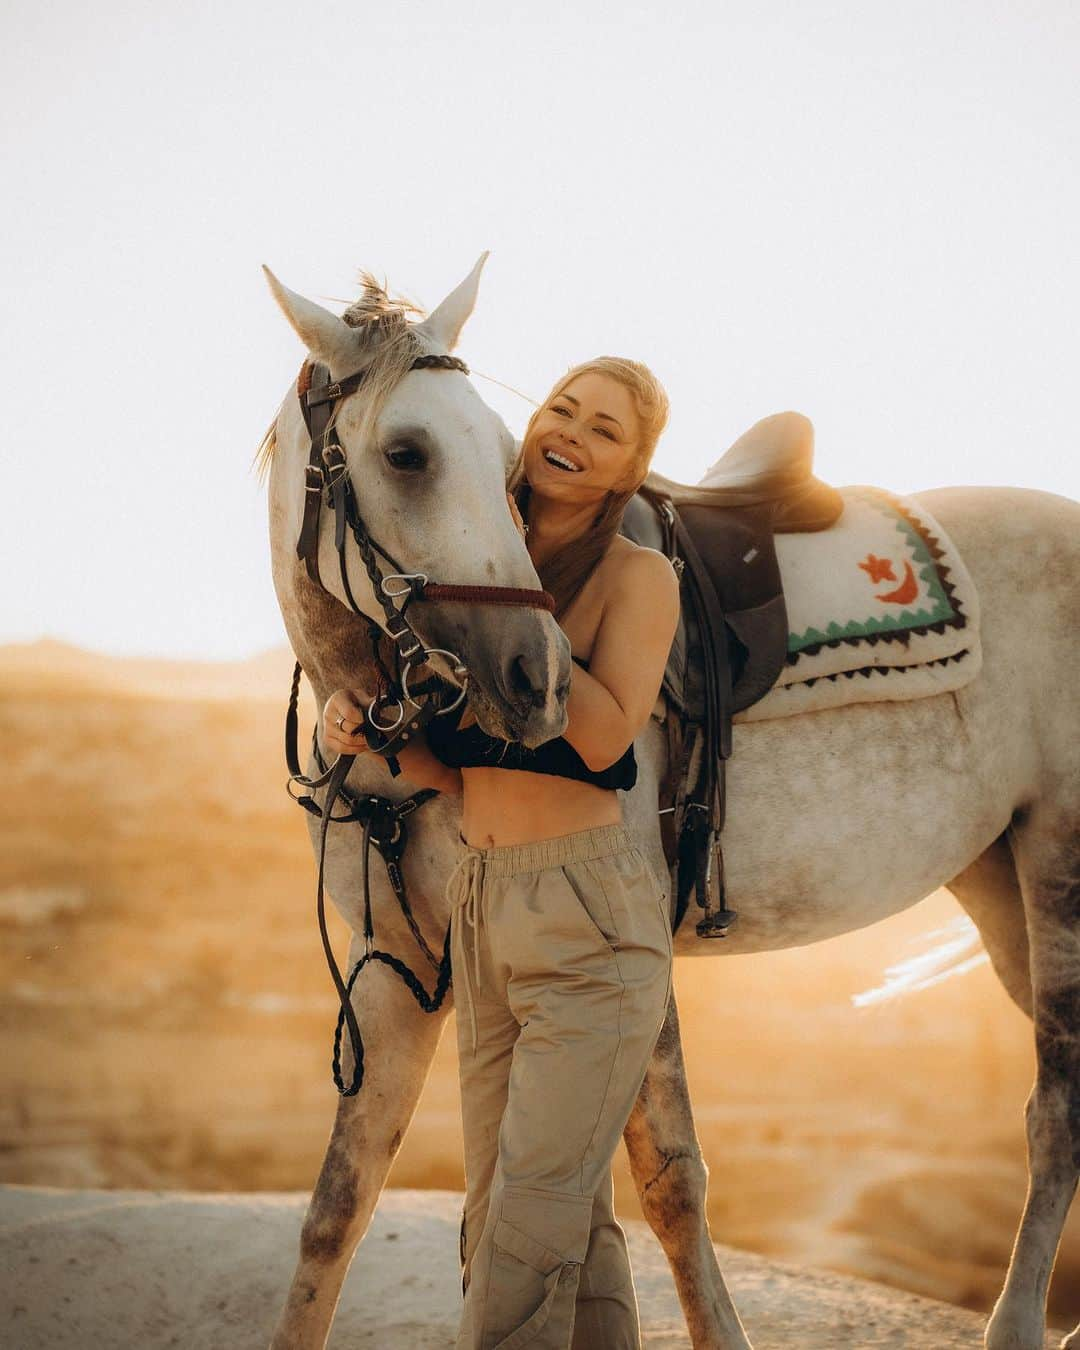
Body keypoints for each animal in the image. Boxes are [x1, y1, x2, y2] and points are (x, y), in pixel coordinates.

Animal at [259, 255, 1080, 1350]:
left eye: (502, 455)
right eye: (407, 453)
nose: (535, 678)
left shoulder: (631, 937)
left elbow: (671, 1181)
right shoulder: (398, 973)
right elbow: (336, 1208)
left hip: (1060, 866)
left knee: (1057, 1105)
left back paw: (1018, 1324)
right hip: (998, 877)